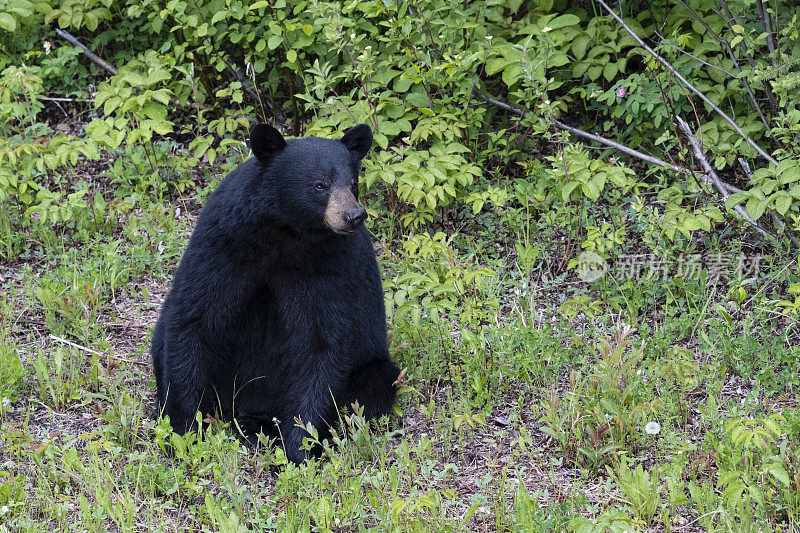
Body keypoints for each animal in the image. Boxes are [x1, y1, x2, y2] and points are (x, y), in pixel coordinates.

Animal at [151, 122, 400, 464]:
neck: (286, 232)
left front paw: (299, 446)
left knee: (374, 385)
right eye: (319, 185)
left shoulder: (332, 266)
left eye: (352, 183)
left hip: (373, 366)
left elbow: (323, 342)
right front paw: (185, 430)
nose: (354, 215)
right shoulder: (224, 244)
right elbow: (194, 317)